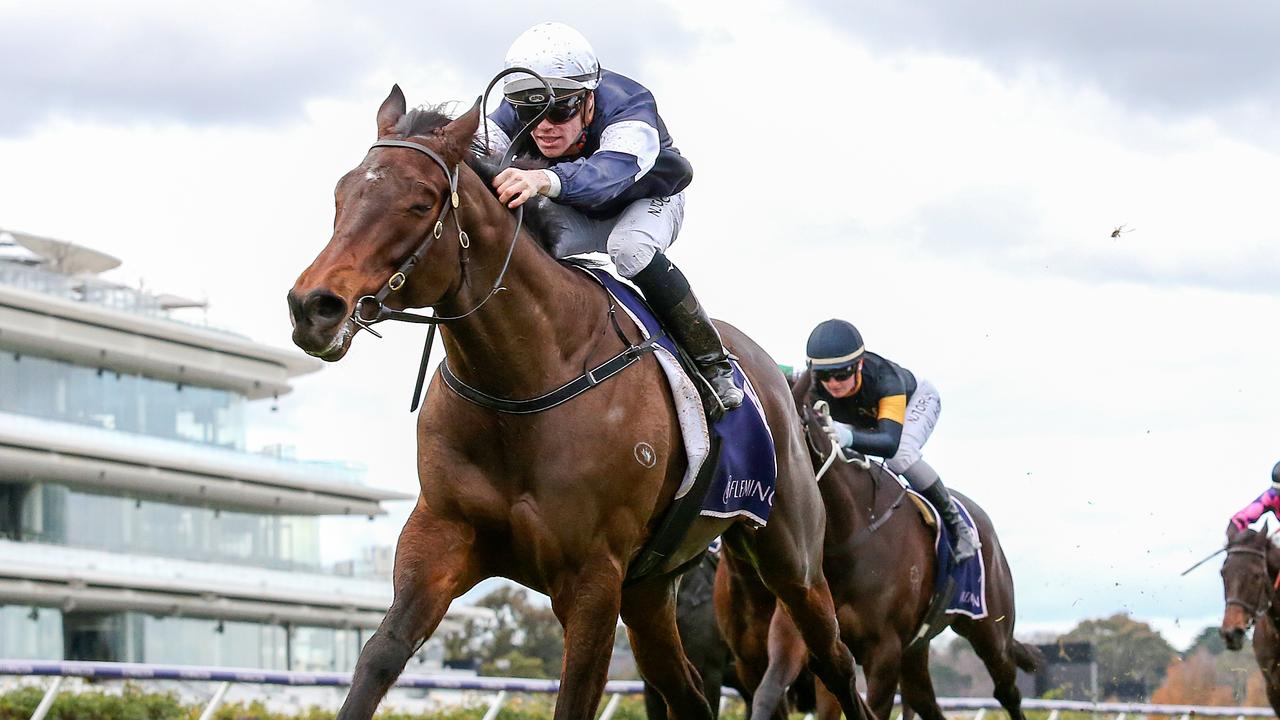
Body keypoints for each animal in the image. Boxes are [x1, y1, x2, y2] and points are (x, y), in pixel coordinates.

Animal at [285, 88, 875, 717]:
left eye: (420, 203)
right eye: (342, 193)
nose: (313, 306)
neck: (521, 385)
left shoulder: (592, 578)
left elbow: (574, 696)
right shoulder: (439, 539)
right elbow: (378, 657)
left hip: (793, 564)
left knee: (837, 665)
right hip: (649, 590)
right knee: (688, 692)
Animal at [711, 368, 1039, 717]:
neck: (844, 541)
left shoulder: (883, 650)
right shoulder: (795, 630)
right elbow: (769, 691)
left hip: (990, 632)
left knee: (1007, 691)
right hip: (915, 651)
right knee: (925, 700)